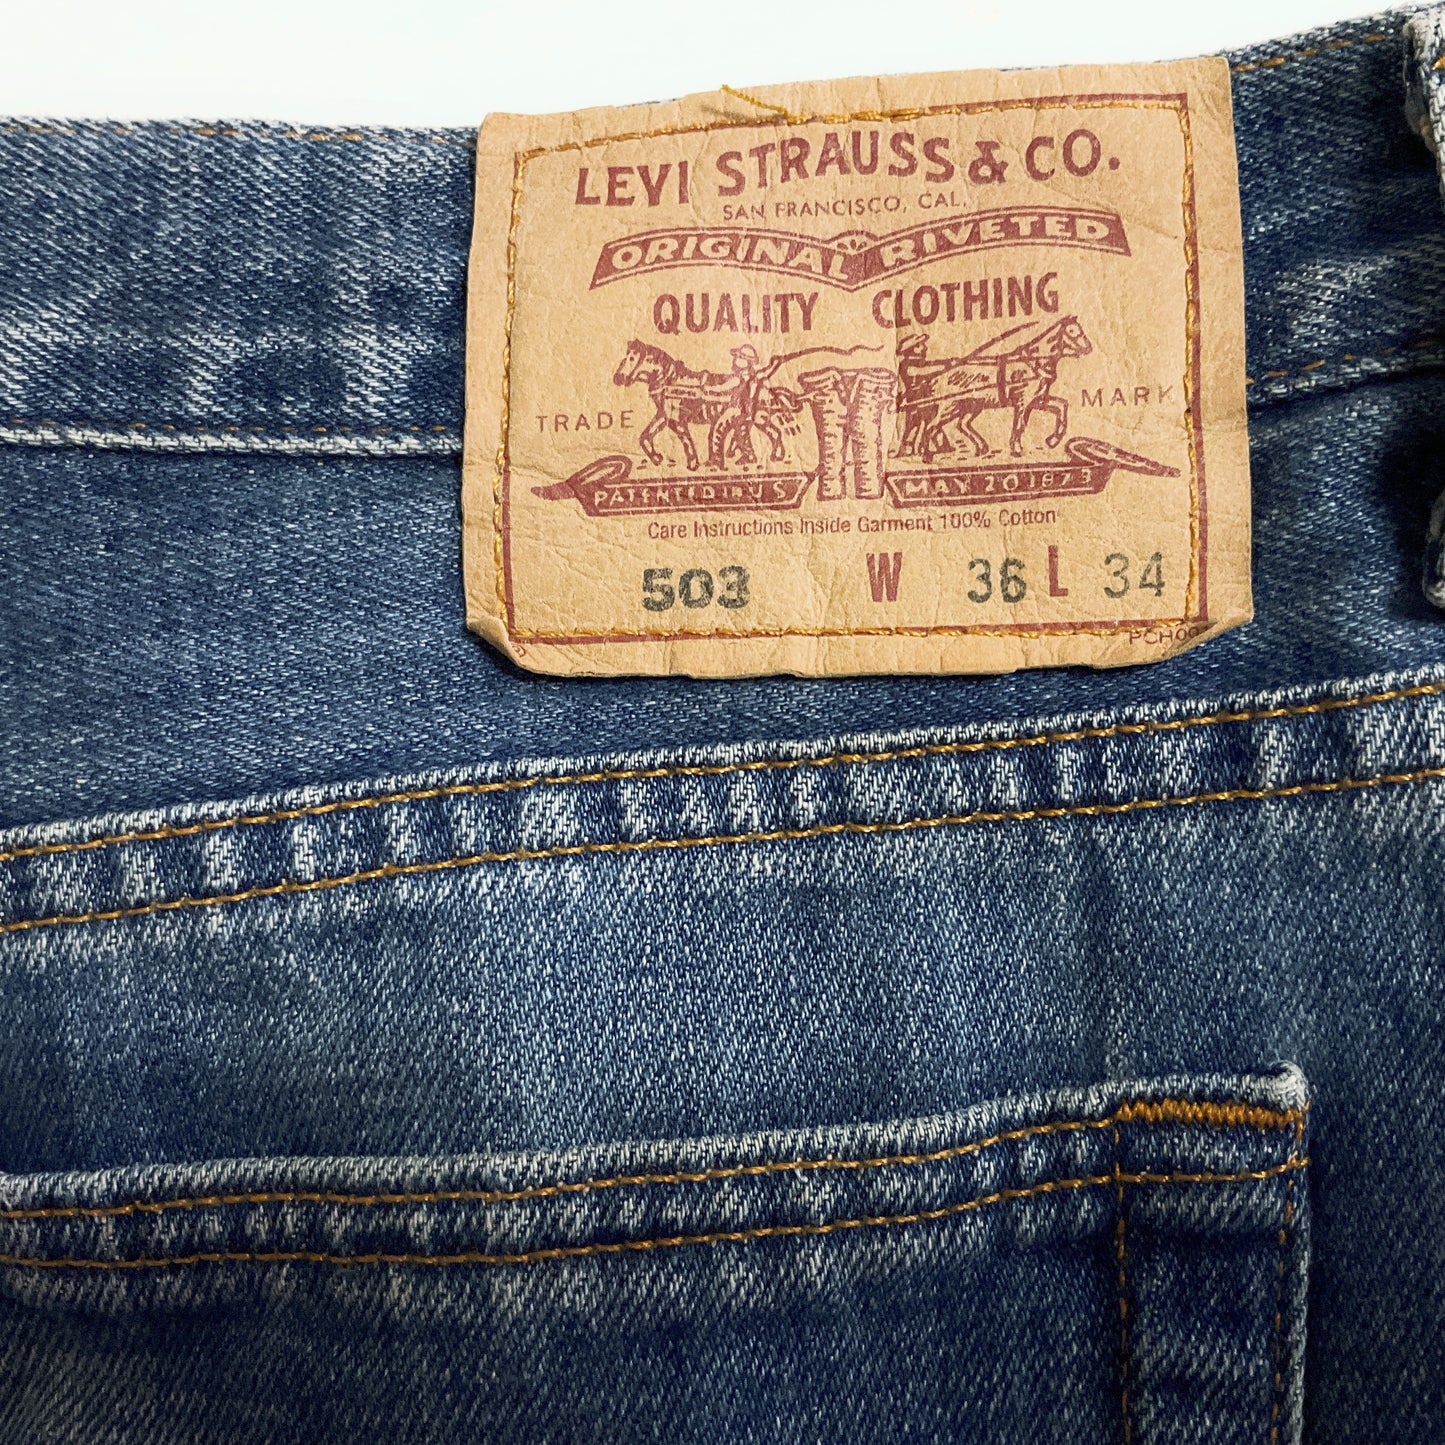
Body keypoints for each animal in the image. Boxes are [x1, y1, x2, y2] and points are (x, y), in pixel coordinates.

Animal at [899, 316, 1093, 461]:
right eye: (1072, 331)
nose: (1089, 347)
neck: (1033, 362)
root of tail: (937, 377)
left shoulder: (1038, 399)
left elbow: (1062, 406)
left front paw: (1053, 440)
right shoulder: (1023, 402)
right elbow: (1020, 424)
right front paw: (1016, 449)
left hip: (971, 406)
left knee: (962, 425)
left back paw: (981, 447)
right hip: (950, 407)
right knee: (932, 426)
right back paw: (927, 455)